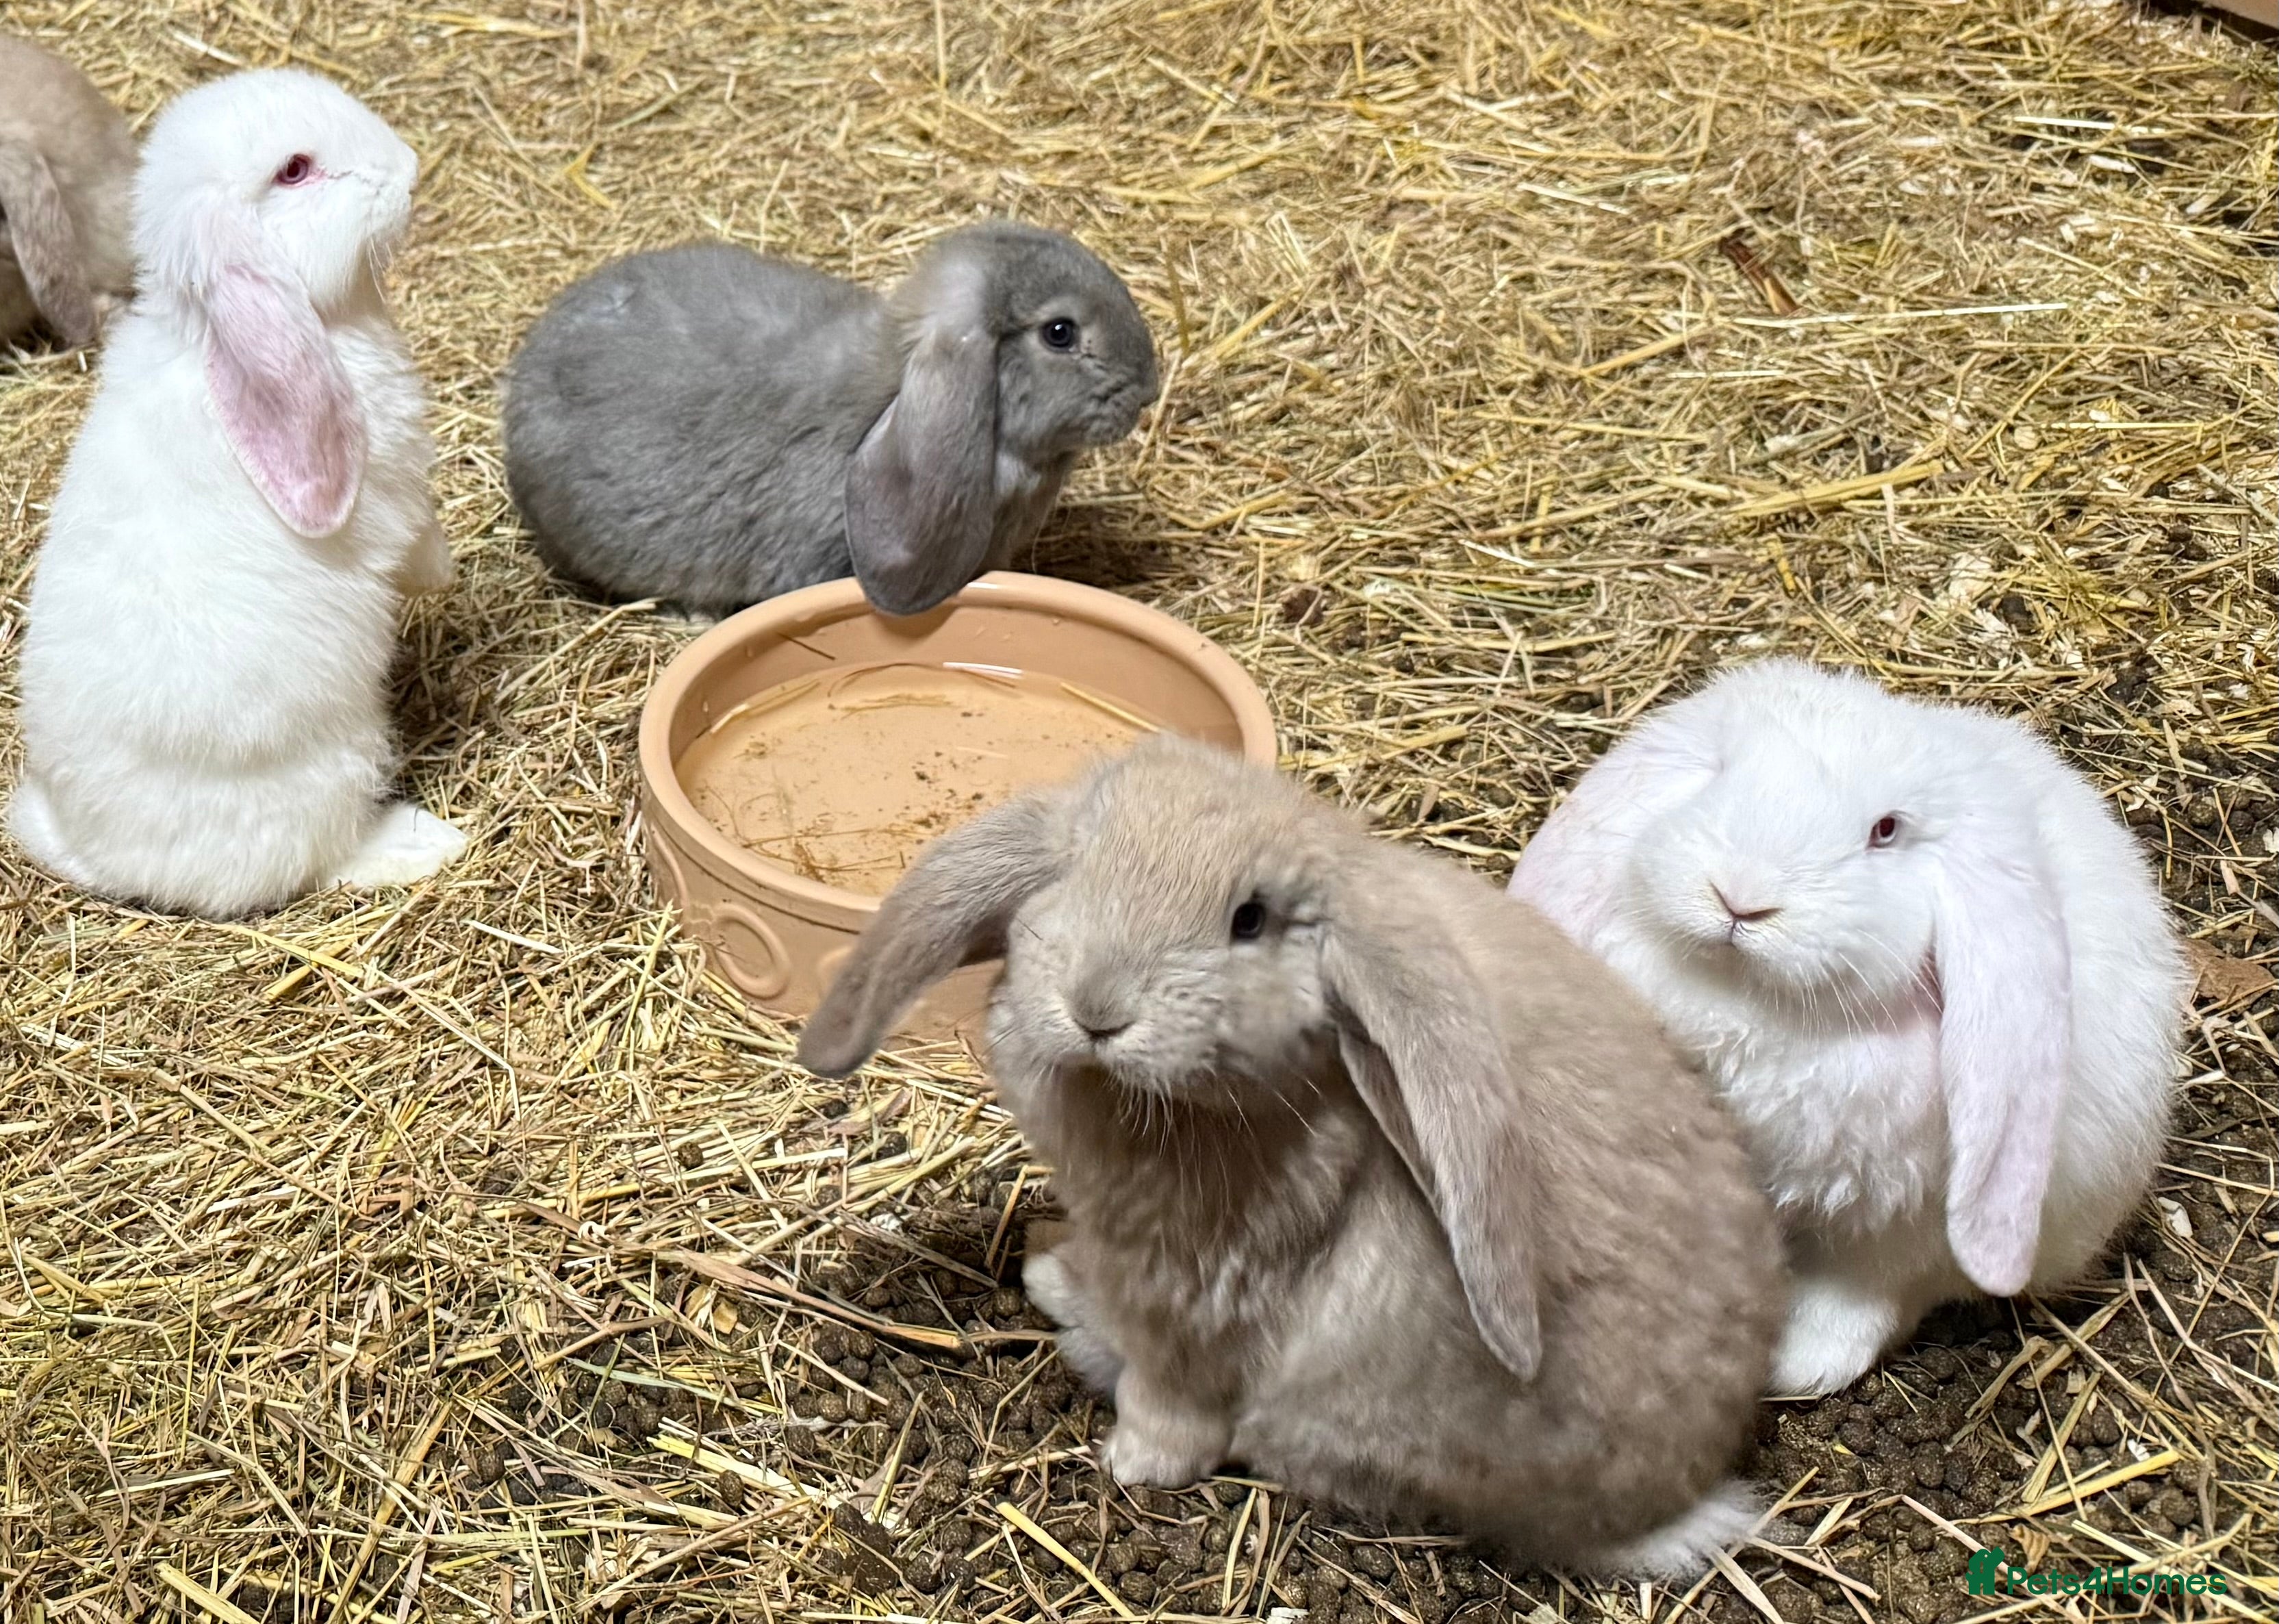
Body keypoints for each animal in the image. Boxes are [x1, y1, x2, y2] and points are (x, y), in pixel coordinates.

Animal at [7, 68, 466, 920]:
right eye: (295, 170)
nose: (410, 170)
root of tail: (102, 854)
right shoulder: (389, 484)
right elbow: (413, 539)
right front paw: (444, 573)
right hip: (338, 764)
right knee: (316, 863)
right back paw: (420, 842)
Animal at [797, 734, 1786, 1578]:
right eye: (1073, 873)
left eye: (1249, 919)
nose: (1096, 1009)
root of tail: (1683, 1490)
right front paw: (1047, 1261)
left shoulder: (1191, 1306)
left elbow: (1174, 1399)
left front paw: (1133, 1462)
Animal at [1509, 659, 2187, 1398]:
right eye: (1718, 770)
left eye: (1885, 830)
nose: (1740, 898)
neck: (1745, 1000)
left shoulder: (1891, 1219)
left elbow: (1864, 1293)